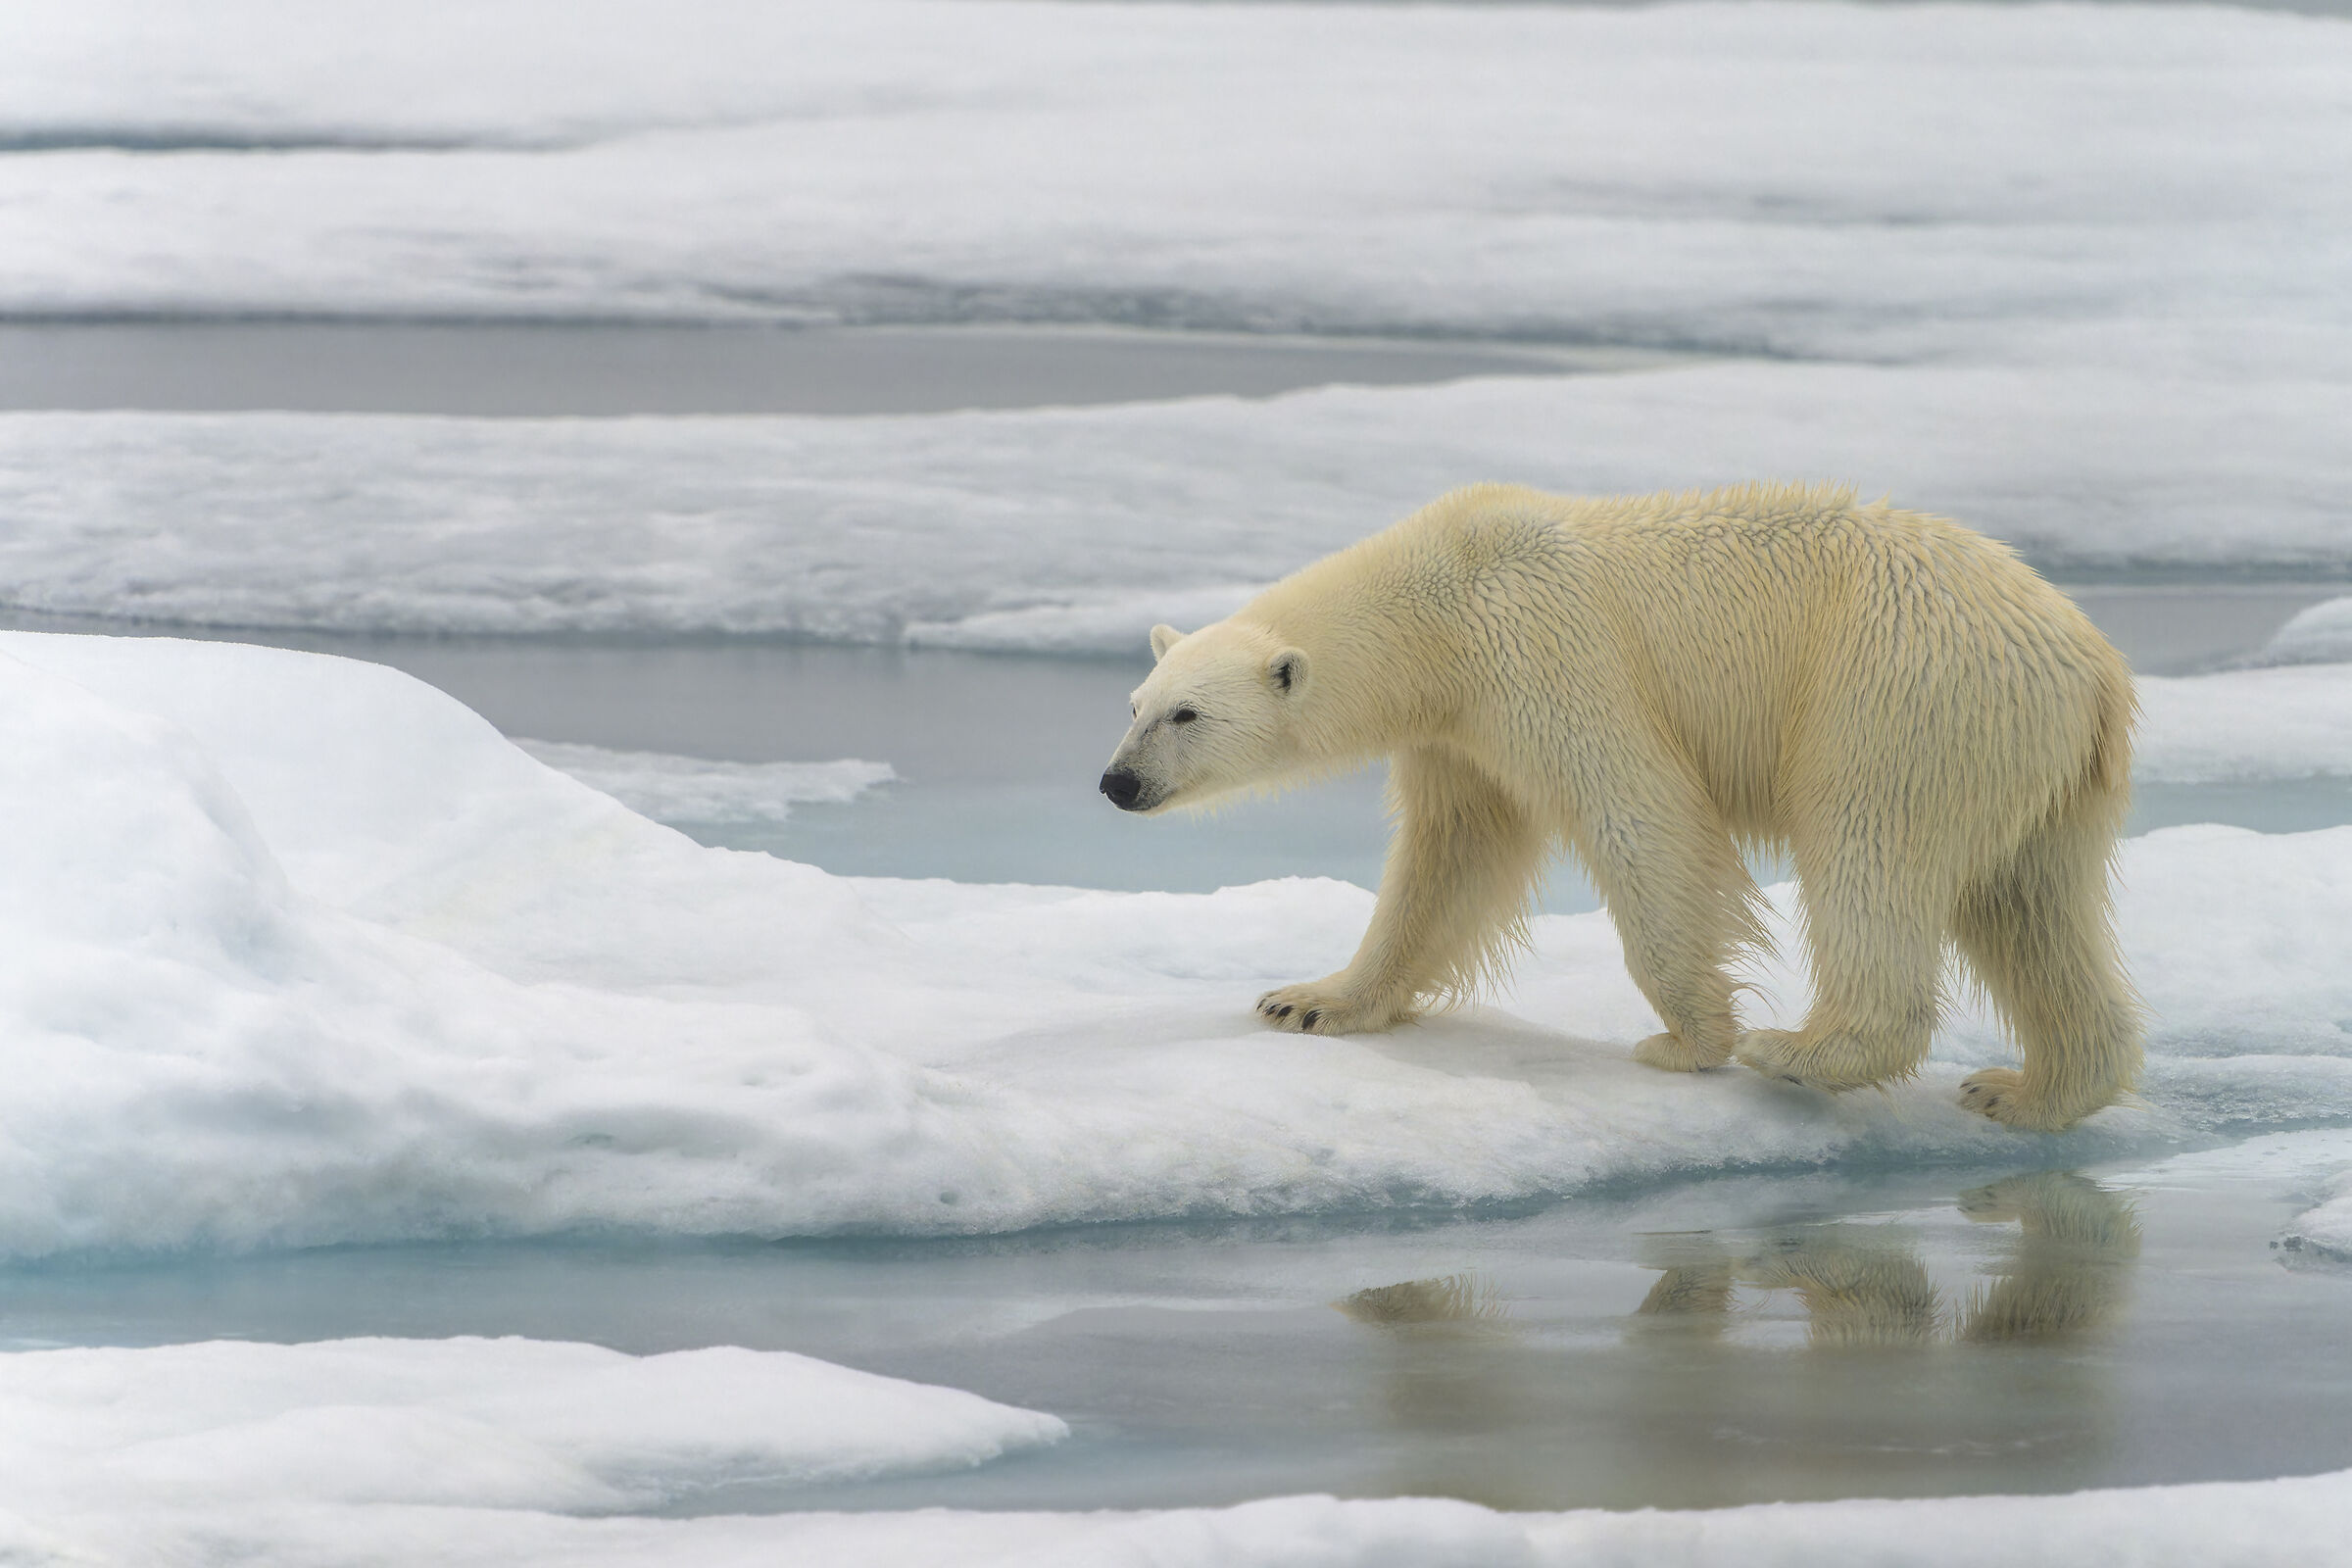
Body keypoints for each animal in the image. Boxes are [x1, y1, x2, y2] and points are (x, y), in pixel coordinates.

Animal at [1099, 482, 2142, 1132]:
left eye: (1187, 715)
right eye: (1135, 705)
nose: (1117, 784)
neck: (1438, 598)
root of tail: (2093, 664)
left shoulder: (1542, 644)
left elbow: (1642, 813)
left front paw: (1691, 1040)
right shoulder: (1456, 732)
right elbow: (1450, 859)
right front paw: (1309, 1000)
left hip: (1897, 693)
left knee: (1867, 847)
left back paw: (1798, 1049)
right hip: (2036, 770)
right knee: (2033, 907)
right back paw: (2026, 1090)